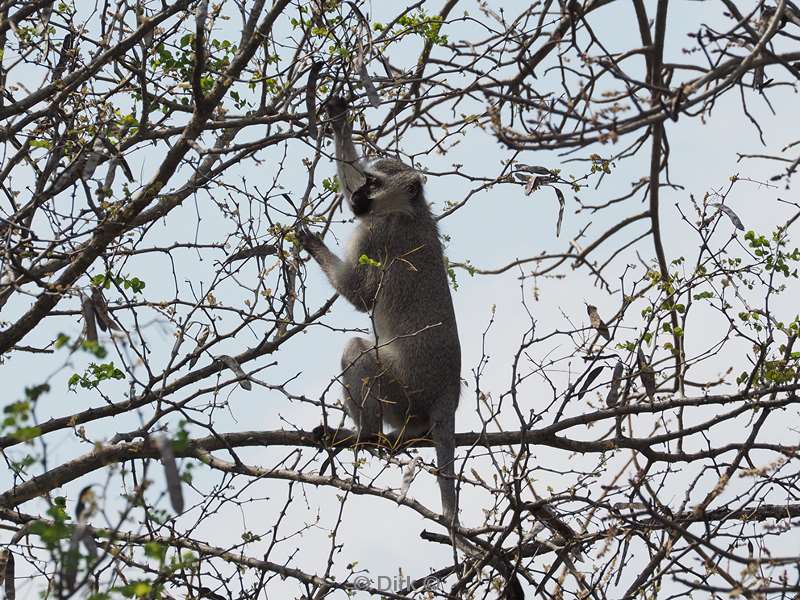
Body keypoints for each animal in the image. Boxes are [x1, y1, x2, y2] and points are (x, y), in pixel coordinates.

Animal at [296, 96, 520, 596]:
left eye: (373, 184)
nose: (356, 198)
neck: (409, 210)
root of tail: (447, 395)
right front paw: (339, 119)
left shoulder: (376, 235)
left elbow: (359, 296)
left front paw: (311, 241)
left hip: (403, 387)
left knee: (356, 349)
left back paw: (362, 435)